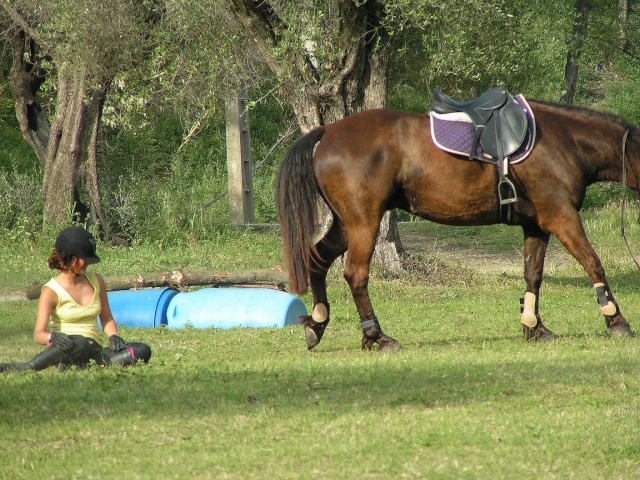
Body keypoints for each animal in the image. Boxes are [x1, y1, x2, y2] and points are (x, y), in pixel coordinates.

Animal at [276, 101, 640, 350]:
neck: (563, 142)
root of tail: (328, 132)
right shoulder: (561, 217)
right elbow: (593, 263)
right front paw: (616, 320)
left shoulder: (536, 226)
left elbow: (533, 275)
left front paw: (534, 327)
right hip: (363, 222)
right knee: (355, 274)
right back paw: (376, 335)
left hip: (344, 224)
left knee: (316, 259)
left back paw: (317, 324)